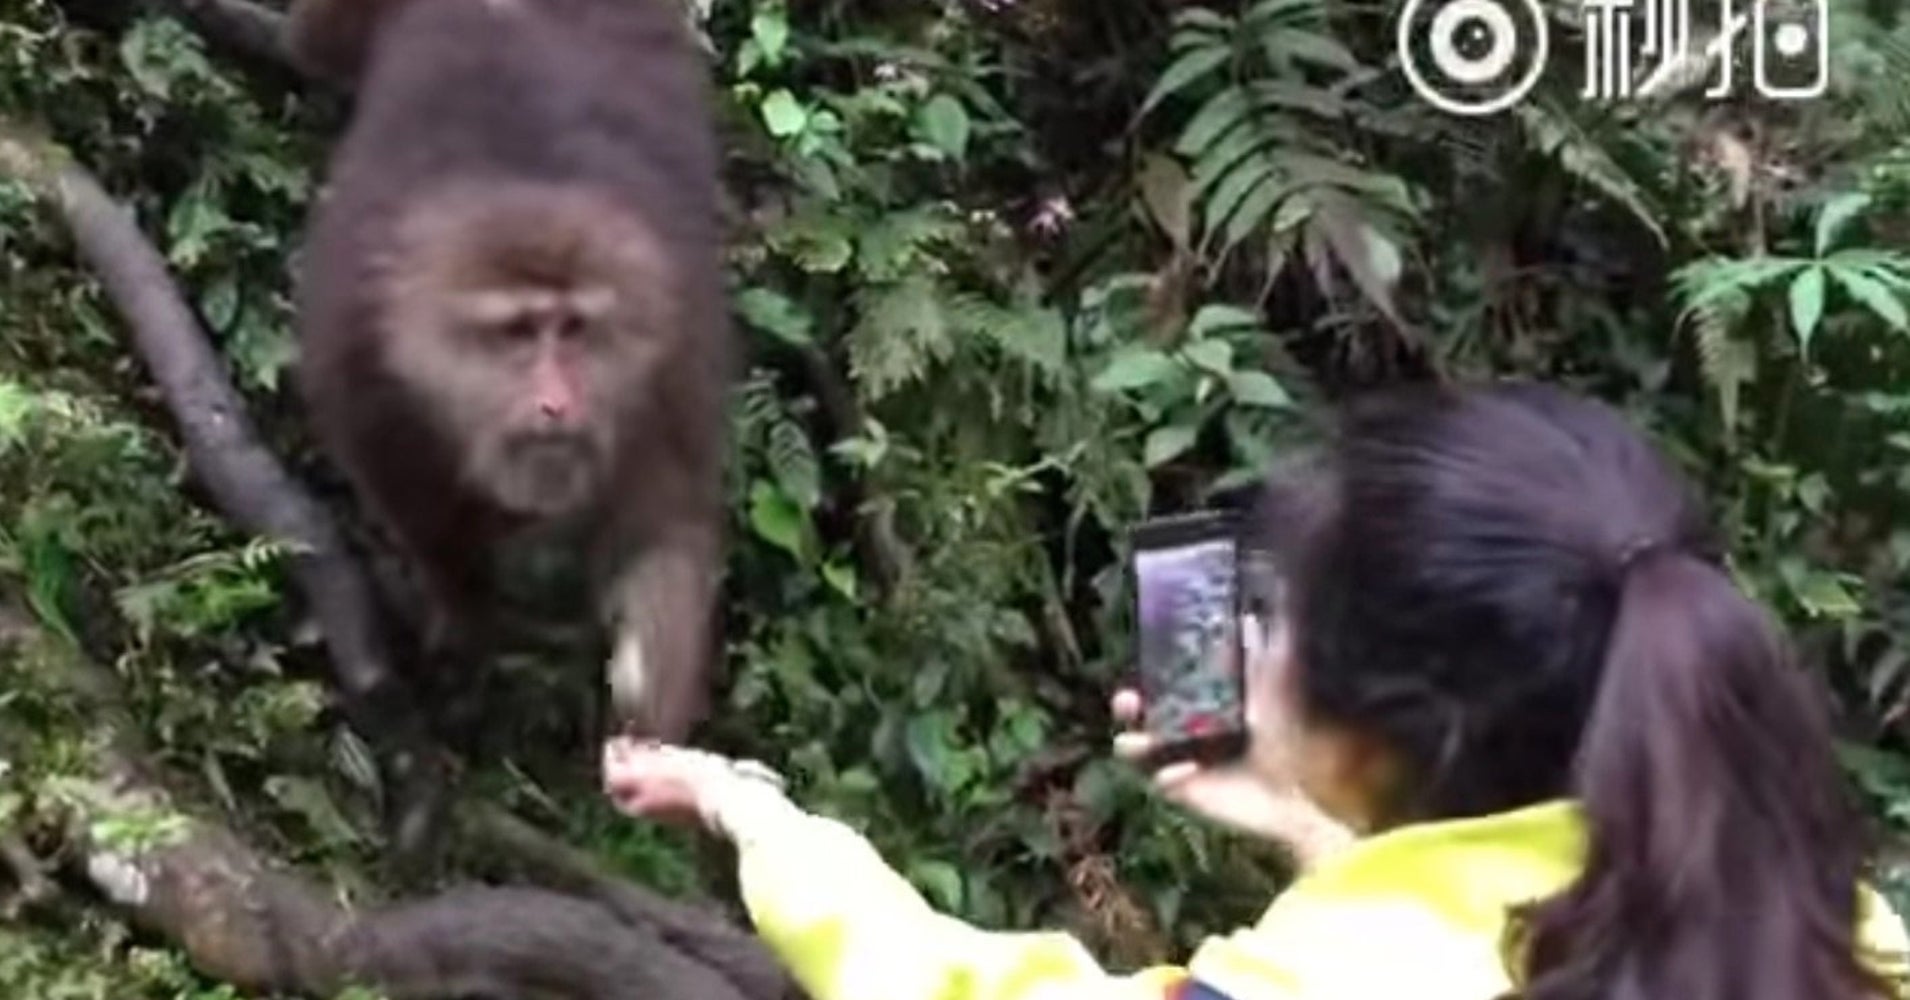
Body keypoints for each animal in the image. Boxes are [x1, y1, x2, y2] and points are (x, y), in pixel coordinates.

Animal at [287, 0, 732, 742]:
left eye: (575, 330)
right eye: (519, 333)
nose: (557, 404)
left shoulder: (671, 358)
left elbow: (664, 521)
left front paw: (653, 687)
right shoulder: (360, 355)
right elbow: (411, 498)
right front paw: (464, 600)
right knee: (321, 42)